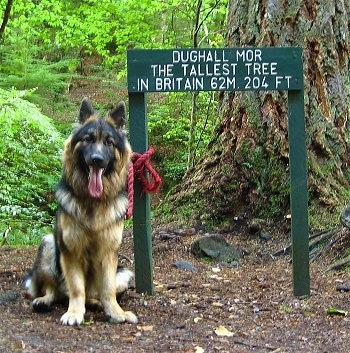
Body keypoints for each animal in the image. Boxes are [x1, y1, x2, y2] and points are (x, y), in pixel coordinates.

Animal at [24, 97, 137, 324]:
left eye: (109, 142)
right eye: (88, 139)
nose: (96, 159)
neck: (93, 202)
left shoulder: (109, 253)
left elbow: (108, 289)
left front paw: (117, 312)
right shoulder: (70, 251)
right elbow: (76, 288)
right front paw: (75, 313)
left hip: (125, 273)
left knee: (96, 293)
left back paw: (95, 303)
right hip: (48, 244)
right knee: (54, 289)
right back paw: (45, 300)